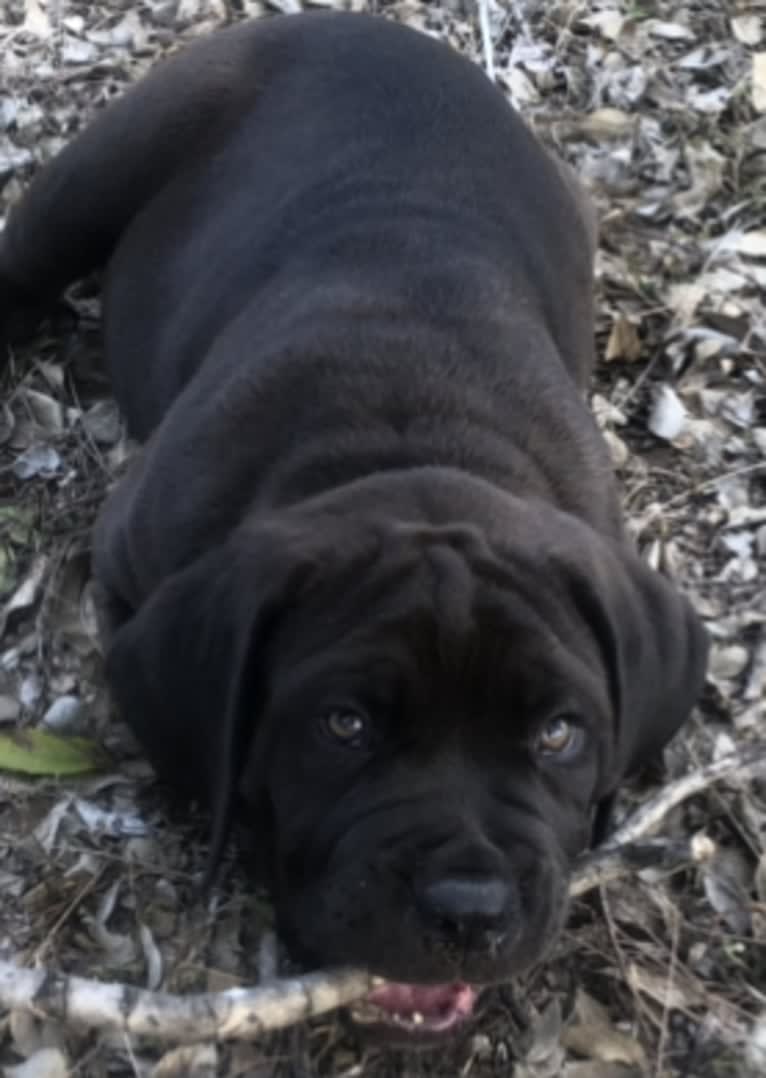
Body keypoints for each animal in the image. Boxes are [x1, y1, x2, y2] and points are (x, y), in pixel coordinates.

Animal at [0, 10, 706, 1043]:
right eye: (345, 725)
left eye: (559, 734)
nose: (469, 910)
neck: (411, 441)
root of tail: (359, 20)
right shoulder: (129, 568)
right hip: (97, 176)